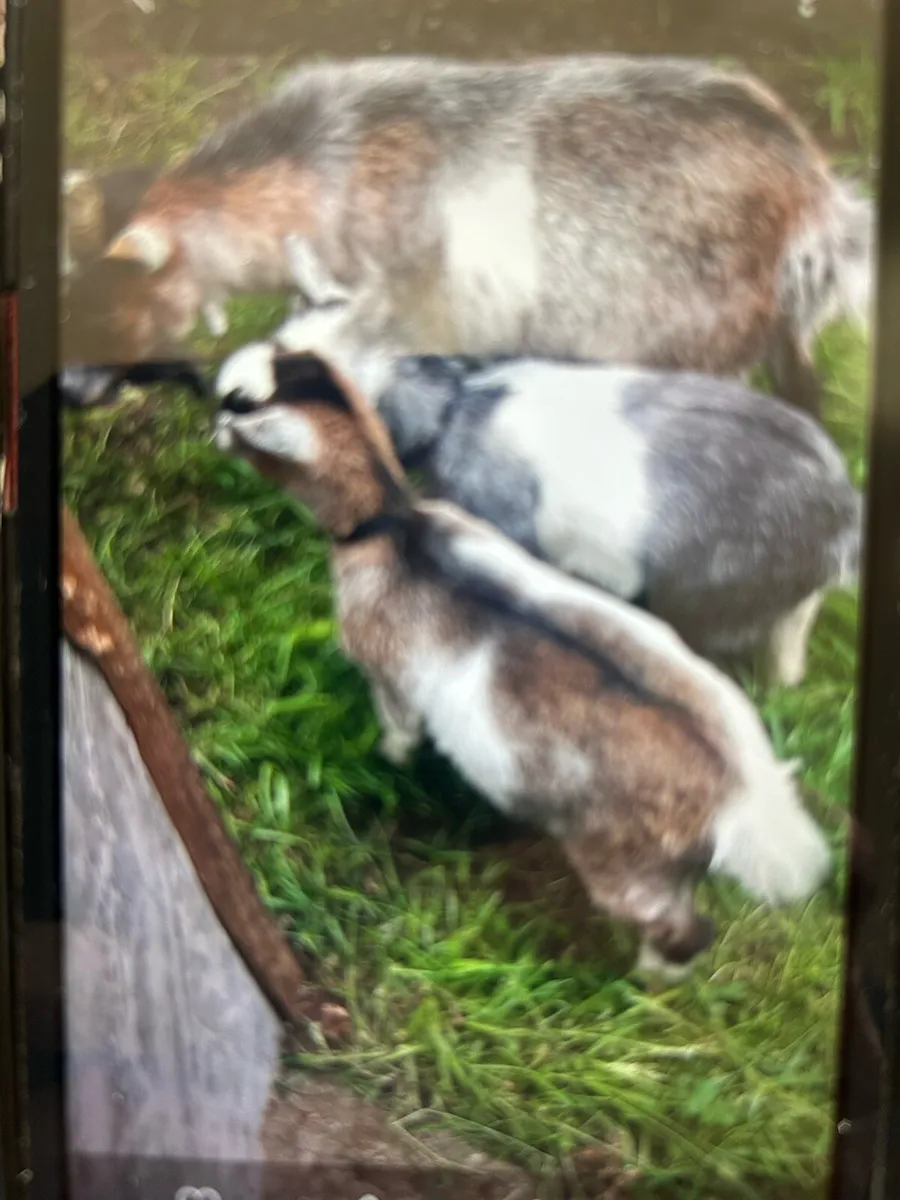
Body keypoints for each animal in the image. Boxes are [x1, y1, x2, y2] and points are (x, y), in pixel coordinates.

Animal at [64, 55, 872, 415]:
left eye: (120, 312)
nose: (72, 391)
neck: (321, 164)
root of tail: (818, 198)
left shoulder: (394, 300)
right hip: (775, 328)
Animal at [213, 350, 831, 978]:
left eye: (239, 407)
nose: (212, 428)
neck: (392, 524)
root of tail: (742, 792)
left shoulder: (388, 673)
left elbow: (398, 725)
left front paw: (391, 758)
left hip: (628, 864)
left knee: (682, 927)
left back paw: (648, 976)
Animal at [216, 259, 862, 683]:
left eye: (302, 375)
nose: (228, 391)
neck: (455, 398)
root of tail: (839, 519)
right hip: (787, 606)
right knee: (788, 656)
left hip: (705, 597)